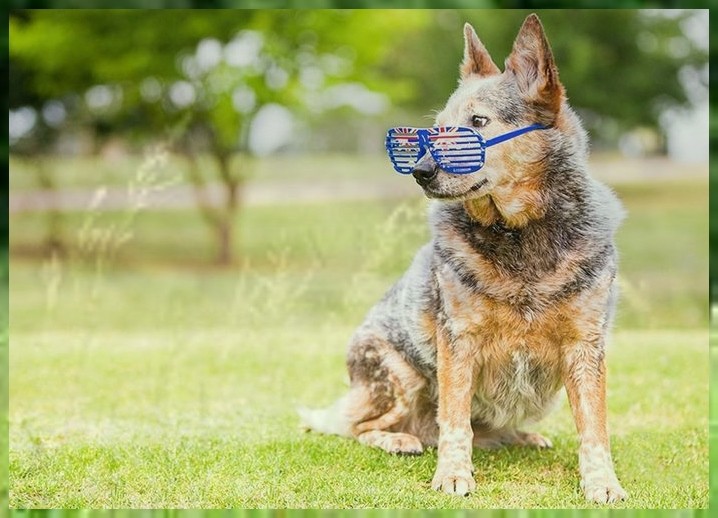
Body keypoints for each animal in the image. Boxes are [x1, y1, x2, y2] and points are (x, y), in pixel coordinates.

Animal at [300, 14, 628, 506]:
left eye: (477, 122)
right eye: (436, 129)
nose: (420, 171)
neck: (519, 235)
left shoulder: (584, 346)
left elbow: (594, 427)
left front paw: (602, 482)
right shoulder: (459, 340)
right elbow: (454, 422)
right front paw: (453, 476)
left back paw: (520, 437)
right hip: (400, 376)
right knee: (358, 427)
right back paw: (399, 439)